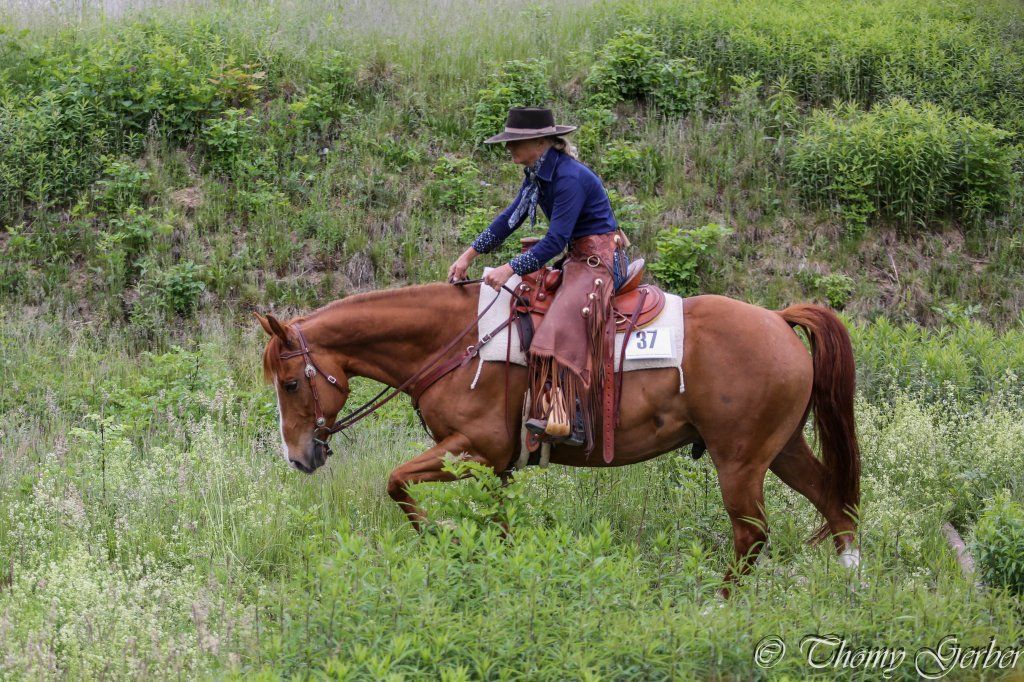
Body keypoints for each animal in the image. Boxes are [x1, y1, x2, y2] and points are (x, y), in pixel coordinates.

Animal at [257, 282, 861, 592]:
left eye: (291, 383)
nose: (297, 457)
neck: (459, 343)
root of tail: (779, 320)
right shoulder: (494, 467)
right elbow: (496, 524)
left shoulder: (473, 447)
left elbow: (396, 480)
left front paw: (443, 537)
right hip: (782, 449)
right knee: (835, 503)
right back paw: (851, 584)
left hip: (739, 461)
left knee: (752, 533)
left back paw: (718, 606)